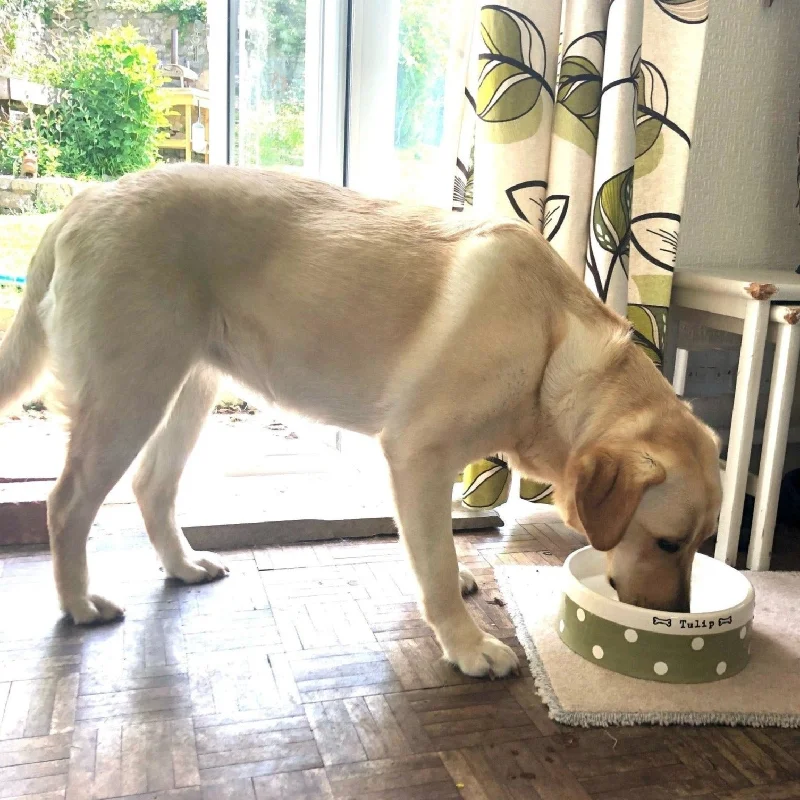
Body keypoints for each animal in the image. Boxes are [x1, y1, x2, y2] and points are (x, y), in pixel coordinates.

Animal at [0, 166, 720, 680]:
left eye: (702, 545)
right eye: (666, 543)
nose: (676, 619)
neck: (552, 348)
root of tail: (82, 200)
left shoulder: (419, 464)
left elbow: (430, 544)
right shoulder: (417, 451)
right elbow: (435, 566)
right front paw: (466, 643)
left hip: (187, 389)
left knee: (152, 488)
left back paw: (181, 566)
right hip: (131, 396)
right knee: (66, 503)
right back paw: (78, 604)